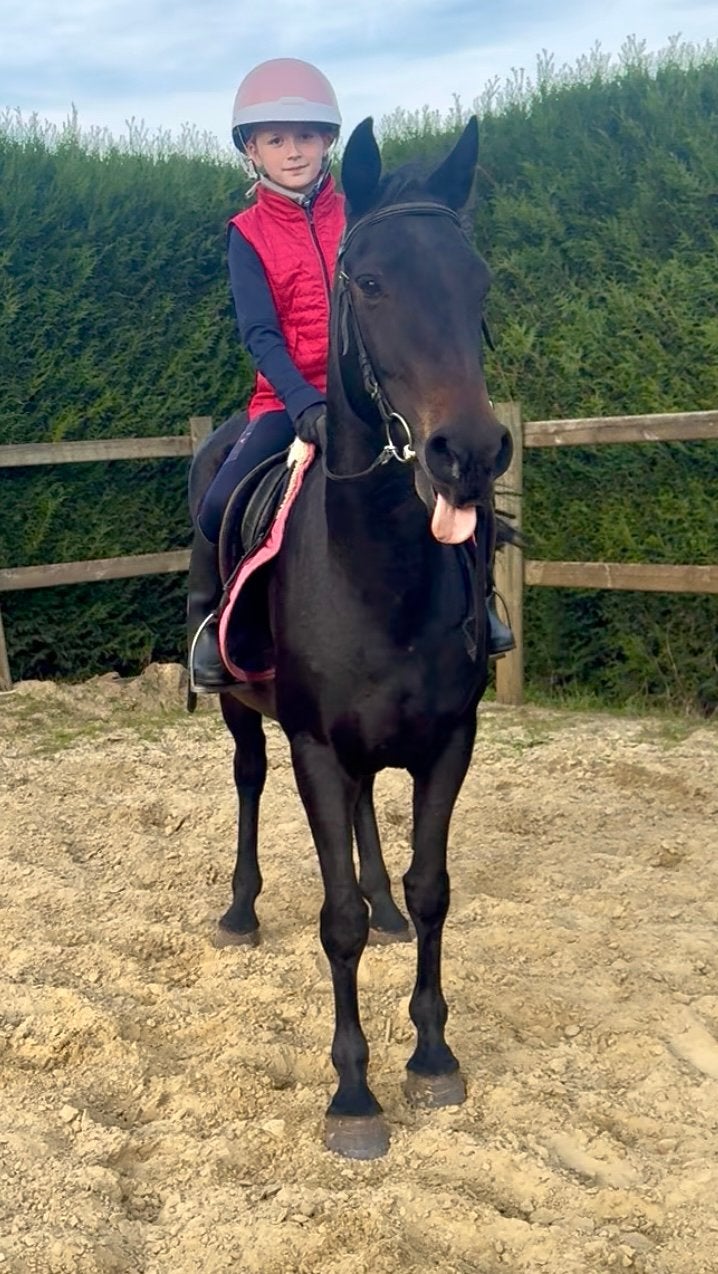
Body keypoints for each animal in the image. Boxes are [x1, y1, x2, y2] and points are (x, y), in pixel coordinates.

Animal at [192, 116, 512, 1159]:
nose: (468, 454)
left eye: (478, 282)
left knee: (377, 826)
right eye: (368, 283)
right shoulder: (316, 749)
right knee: (247, 782)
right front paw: (355, 1097)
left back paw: (381, 905)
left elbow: (433, 887)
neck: (380, 573)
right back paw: (241, 908)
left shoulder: (450, 740)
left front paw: (434, 1057)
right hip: (243, 716)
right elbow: (332, 922)